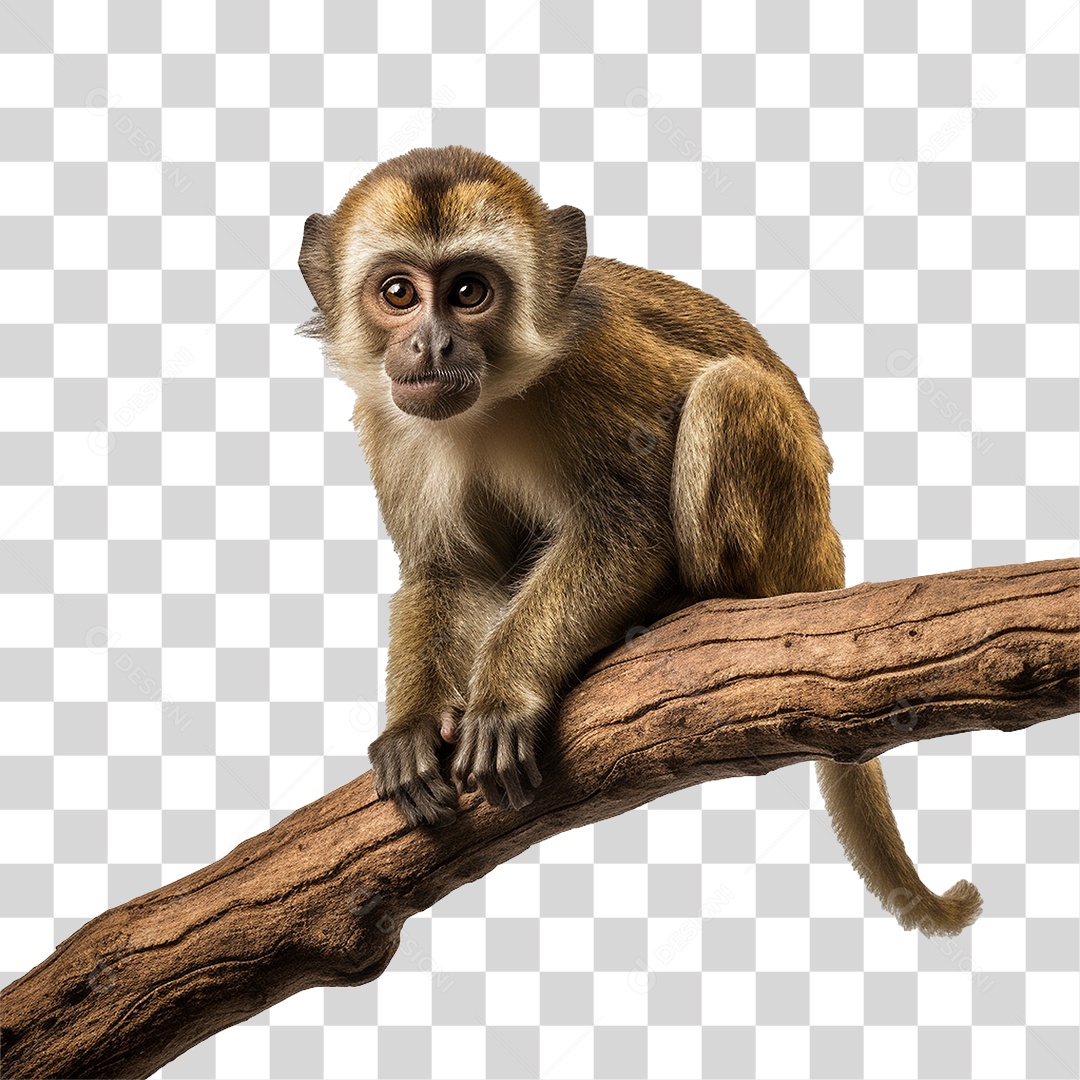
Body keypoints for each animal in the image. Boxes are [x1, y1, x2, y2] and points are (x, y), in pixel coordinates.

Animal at [296, 145, 981, 937]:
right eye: (399, 293)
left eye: (469, 291)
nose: (430, 342)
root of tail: (830, 562)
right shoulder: (389, 417)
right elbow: (449, 573)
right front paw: (411, 727)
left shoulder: (590, 365)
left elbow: (627, 526)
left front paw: (505, 690)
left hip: (796, 542)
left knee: (727, 389)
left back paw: (690, 601)